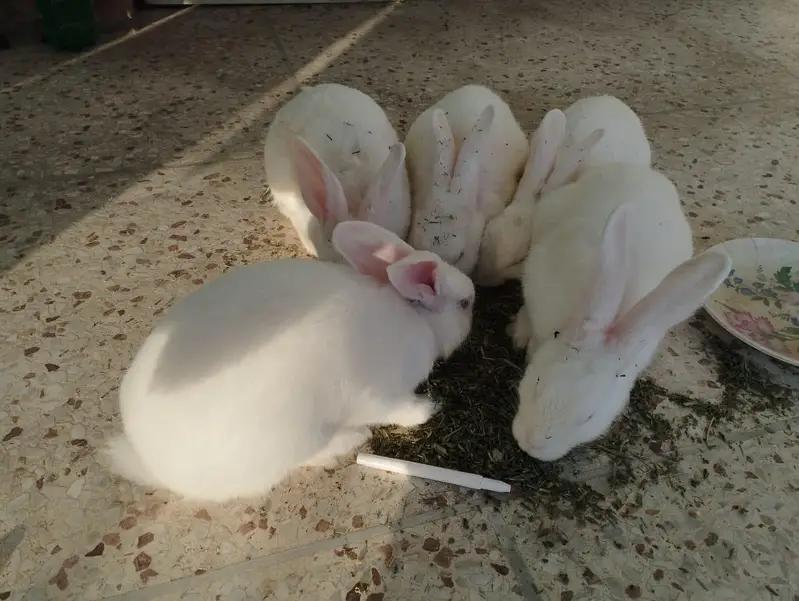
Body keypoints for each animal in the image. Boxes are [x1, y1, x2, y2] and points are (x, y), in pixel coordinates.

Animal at [105, 220, 475, 502]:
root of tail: (150, 460)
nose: (475, 296)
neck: (414, 317)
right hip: (297, 437)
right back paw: (353, 438)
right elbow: (399, 410)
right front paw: (429, 408)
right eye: (465, 304)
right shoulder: (380, 394)